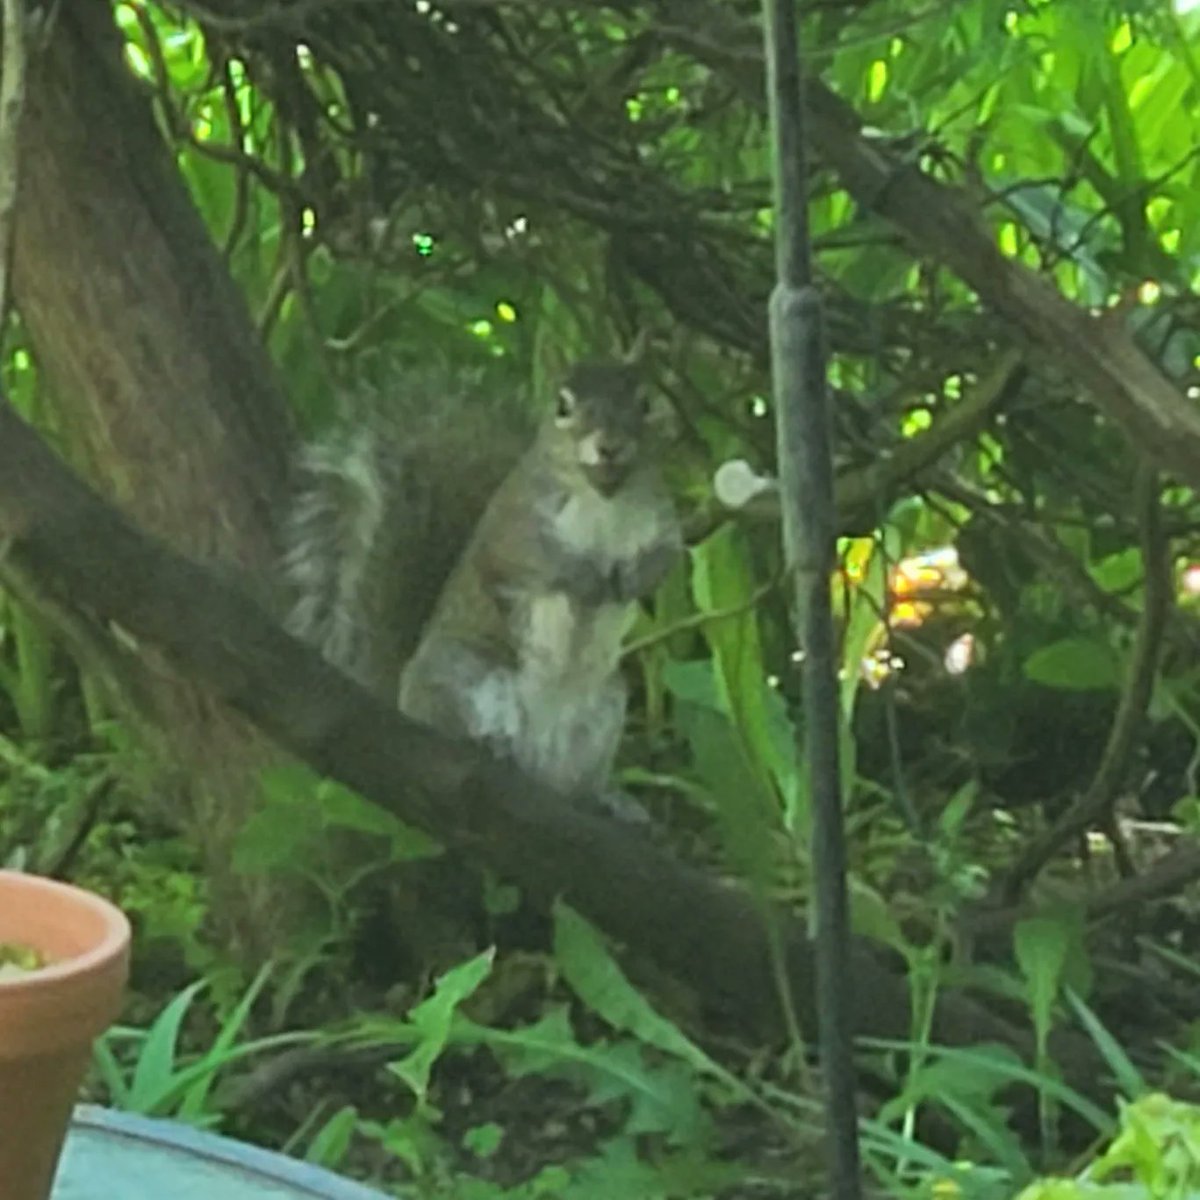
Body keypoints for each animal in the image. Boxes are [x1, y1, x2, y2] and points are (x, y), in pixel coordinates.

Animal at [281, 350, 682, 811]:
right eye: (562, 406)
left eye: (645, 404)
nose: (609, 446)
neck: (605, 498)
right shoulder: (514, 525)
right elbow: (523, 563)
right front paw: (584, 578)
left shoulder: (663, 520)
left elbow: (666, 558)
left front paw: (633, 579)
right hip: (457, 672)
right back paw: (490, 745)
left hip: (604, 710)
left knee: (574, 783)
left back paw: (607, 800)